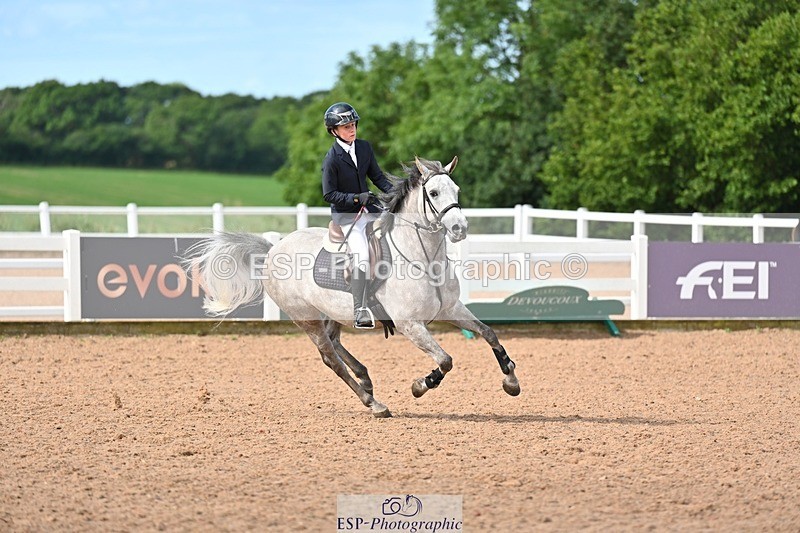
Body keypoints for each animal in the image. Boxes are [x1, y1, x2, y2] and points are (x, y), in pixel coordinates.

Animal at [184, 156, 520, 418]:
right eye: (434, 192)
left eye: (457, 190)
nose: (459, 228)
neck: (422, 257)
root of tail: (272, 249)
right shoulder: (411, 324)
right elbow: (445, 360)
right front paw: (420, 386)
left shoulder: (451, 309)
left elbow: (489, 333)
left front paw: (511, 381)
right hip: (306, 318)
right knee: (330, 357)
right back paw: (373, 402)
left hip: (333, 312)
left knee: (335, 342)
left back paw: (365, 379)